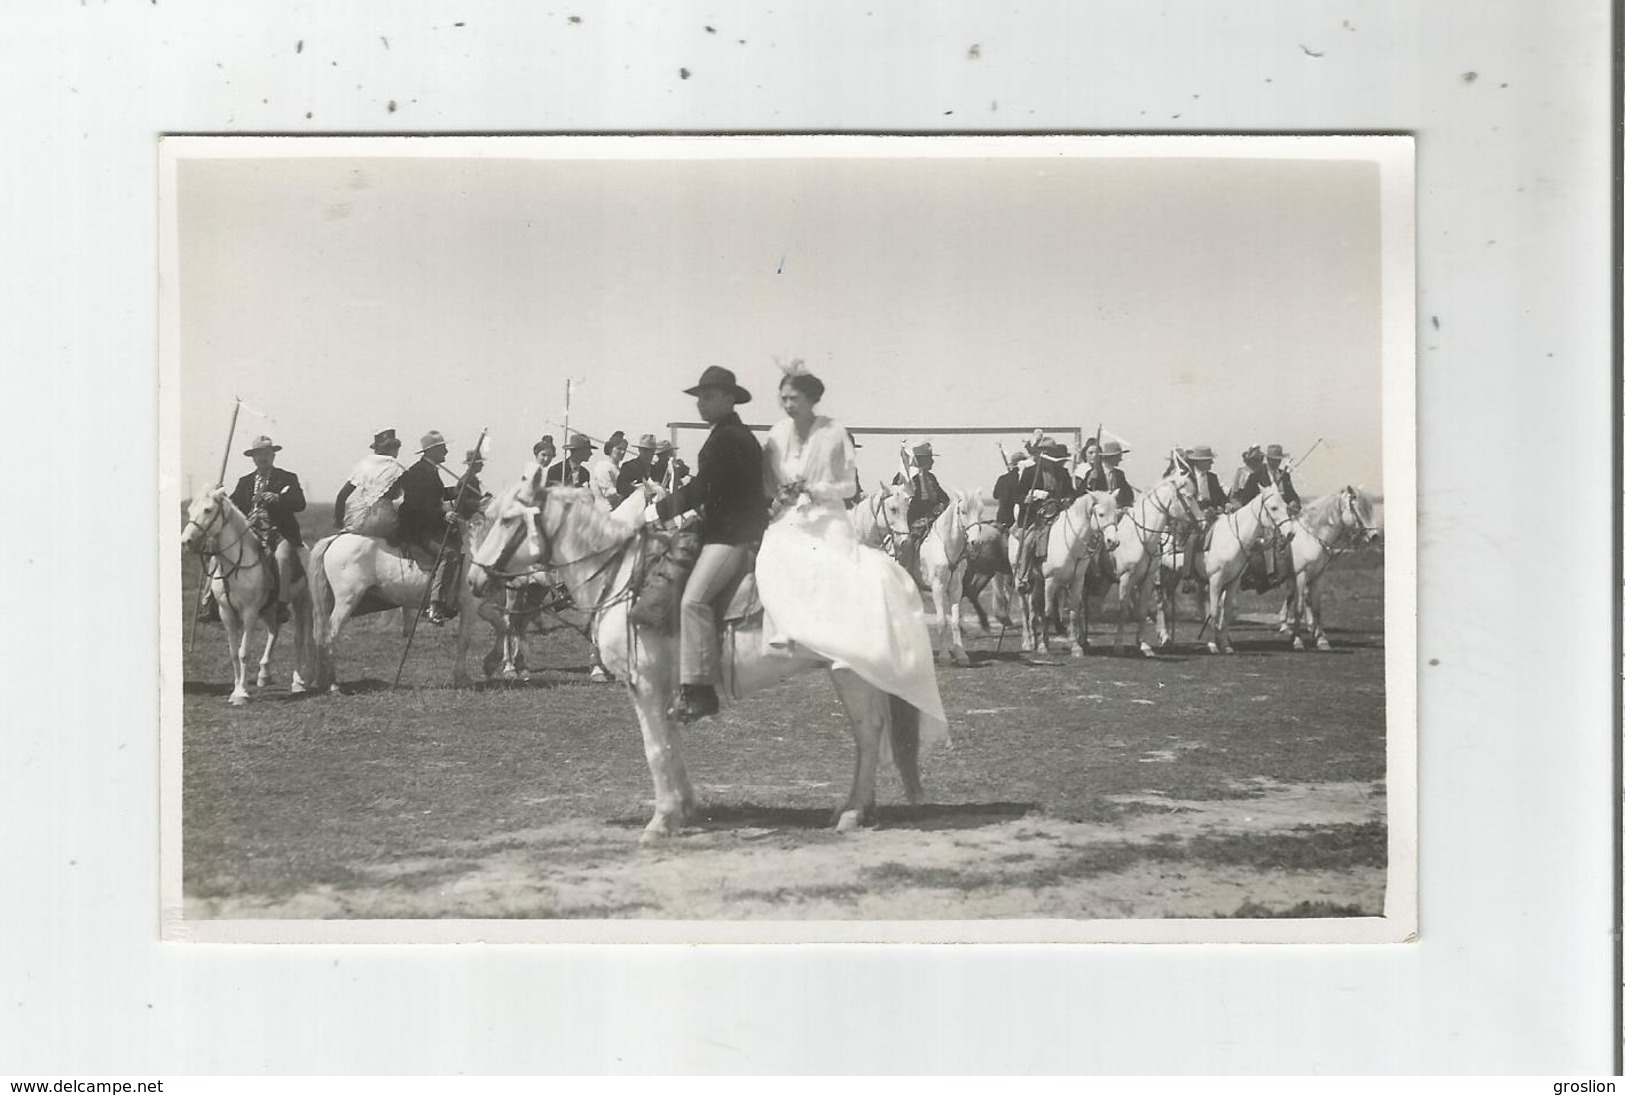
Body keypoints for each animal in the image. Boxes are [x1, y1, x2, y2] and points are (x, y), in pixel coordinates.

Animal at [181, 487, 313, 708]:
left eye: (208, 509)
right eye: (190, 509)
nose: (186, 542)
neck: (237, 564)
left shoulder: (249, 612)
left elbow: (243, 652)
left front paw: (242, 693)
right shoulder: (227, 613)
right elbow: (234, 653)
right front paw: (236, 690)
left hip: (302, 602)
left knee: (300, 638)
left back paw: (298, 682)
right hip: (269, 608)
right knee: (274, 632)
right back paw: (264, 674)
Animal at [474, 474, 929, 838]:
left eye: (509, 520)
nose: (476, 576)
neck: (620, 575)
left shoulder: (644, 682)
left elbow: (656, 748)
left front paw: (661, 821)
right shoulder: (662, 685)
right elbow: (670, 744)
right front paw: (685, 809)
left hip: (849, 673)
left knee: (868, 733)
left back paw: (852, 813)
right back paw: (855, 808)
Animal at [1280, 484, 1384, 649]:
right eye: (1357, 509)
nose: (1374, 537)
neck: (1310, 537)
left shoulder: (1317, 575)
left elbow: (1316, 607)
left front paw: (1321, 639)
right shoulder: (1300, 575)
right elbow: (1299, 606)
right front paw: (1297, 640)